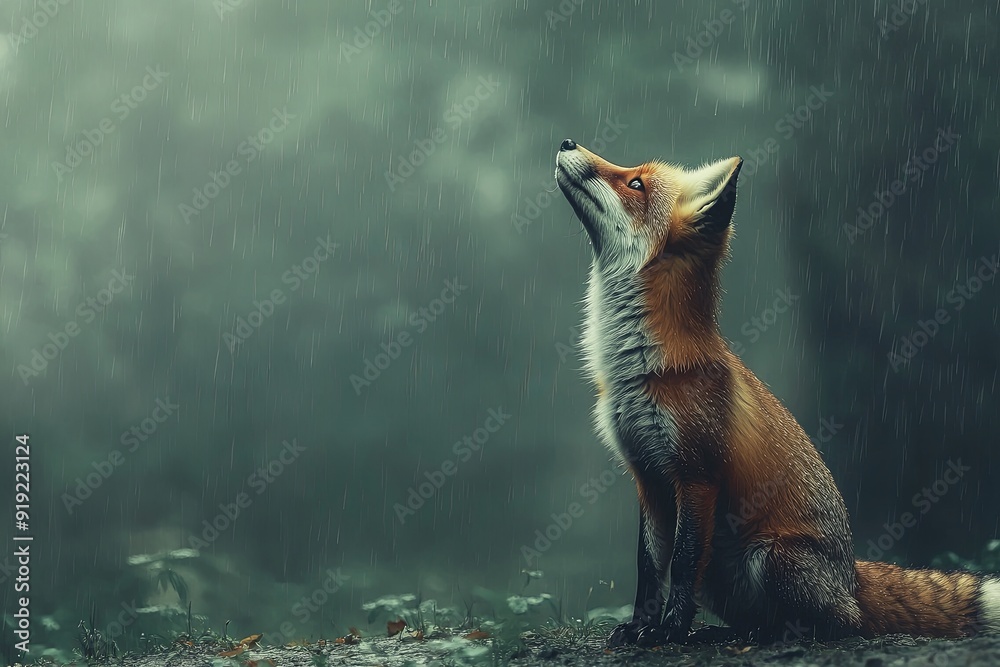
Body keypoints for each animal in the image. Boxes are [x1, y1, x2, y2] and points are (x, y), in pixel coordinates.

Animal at [553, 138, 1000, 646]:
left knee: (838, 624)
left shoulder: (697, 474)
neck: (638, 369)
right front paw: (640, 626)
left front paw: (668, 632)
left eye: (635, 183)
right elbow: (649, 570)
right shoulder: (648, 476)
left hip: (772, 558)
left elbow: (681, 566)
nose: (567, 142)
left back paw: (775, 635)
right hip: (725, 572)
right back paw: (729, 633)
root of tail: (852, 578)